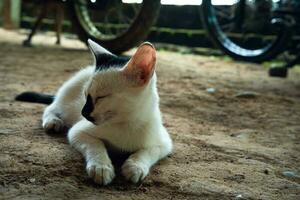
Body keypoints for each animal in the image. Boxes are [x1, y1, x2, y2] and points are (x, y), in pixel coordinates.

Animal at [17, 39, 172, 185]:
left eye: (101, 97)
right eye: (85, 95)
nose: (83, 113)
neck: (126, 123)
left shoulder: (165, 143)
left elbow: (149, 151)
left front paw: (135, 166)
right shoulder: (77, 131)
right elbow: (95, 144)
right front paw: (101, 167)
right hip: (66, 101)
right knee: (51, 107)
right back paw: (53, 121)